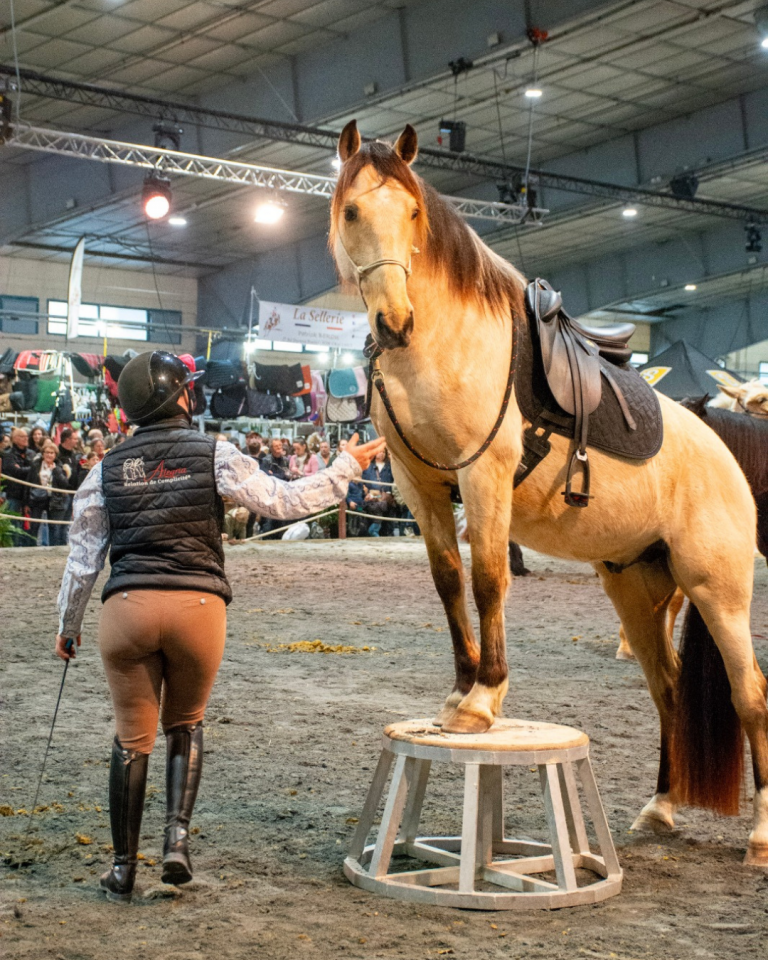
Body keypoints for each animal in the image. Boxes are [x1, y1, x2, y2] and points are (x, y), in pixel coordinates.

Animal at [330, 120, 768, 868]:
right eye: (354, 210)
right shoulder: (422, 488)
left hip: (718, 591)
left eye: (412, 212)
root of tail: (722, 452)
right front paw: (459, 689)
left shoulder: (482, 478)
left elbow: (488, 580)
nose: (394, 322)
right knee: (669, 690)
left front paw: (483, 701)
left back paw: (762, 835)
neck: (445, 346)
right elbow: (448, 582)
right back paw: (660, 808)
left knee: (751, 696)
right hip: (639, 592)